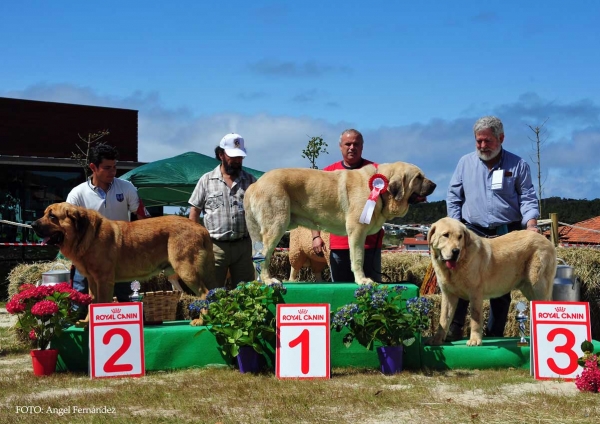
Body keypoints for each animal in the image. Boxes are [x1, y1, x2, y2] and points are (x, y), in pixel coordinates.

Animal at [244, 162, 436, 284]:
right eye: (418, 177)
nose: (434, 185)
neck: (381, 189)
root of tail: (255, 184)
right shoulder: (357, 232)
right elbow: (357, 258)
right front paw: (362, 280)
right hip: (276, 227)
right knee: (263, 257)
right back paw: (268, 280)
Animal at [428, 217, 556, 346]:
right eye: (445, 235)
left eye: (460, 237)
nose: (456, 251)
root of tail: (547, 240)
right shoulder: (448, 295)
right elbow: (444, 319)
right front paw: (437, 339)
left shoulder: (475, 293)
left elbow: (475, 317)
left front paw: (475, 340)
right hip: (529, 289)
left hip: (537, 286)